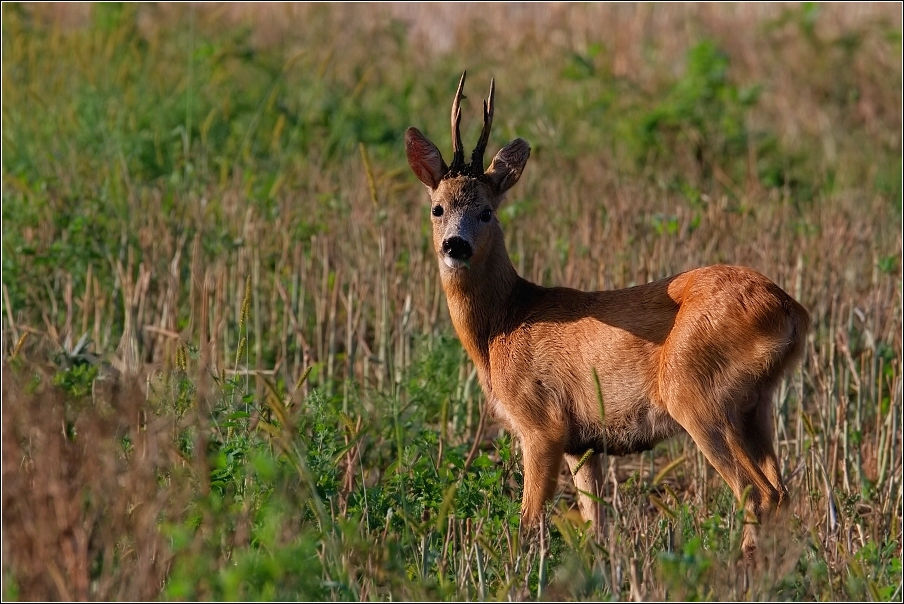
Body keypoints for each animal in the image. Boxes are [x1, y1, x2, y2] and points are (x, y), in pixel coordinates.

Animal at [406, 72, 808, 556]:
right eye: (437, 208)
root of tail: (790, 309)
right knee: (780, 492)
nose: (456, 246)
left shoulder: (542, 423)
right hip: (757, 403)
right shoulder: (583, 443)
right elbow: (595, 522)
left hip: (696, 392)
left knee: (758, 493)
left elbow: (529, 520)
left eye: (486, 211)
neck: (502, 325)